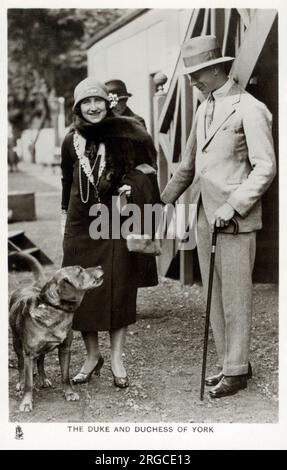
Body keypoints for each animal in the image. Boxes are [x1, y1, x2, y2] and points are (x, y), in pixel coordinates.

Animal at [9, 253, 104, 412]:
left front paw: (69, 393)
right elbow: (29, 383)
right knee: (21, 364)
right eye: (79, 270)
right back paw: (21, 382)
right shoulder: (29, 353)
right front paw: (26, 402)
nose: (100, 266)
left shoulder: (65, 349)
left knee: (40, 361)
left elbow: (65, 376)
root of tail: (30, 286)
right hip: (16, 343)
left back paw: (43, 378)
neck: (55, 309)